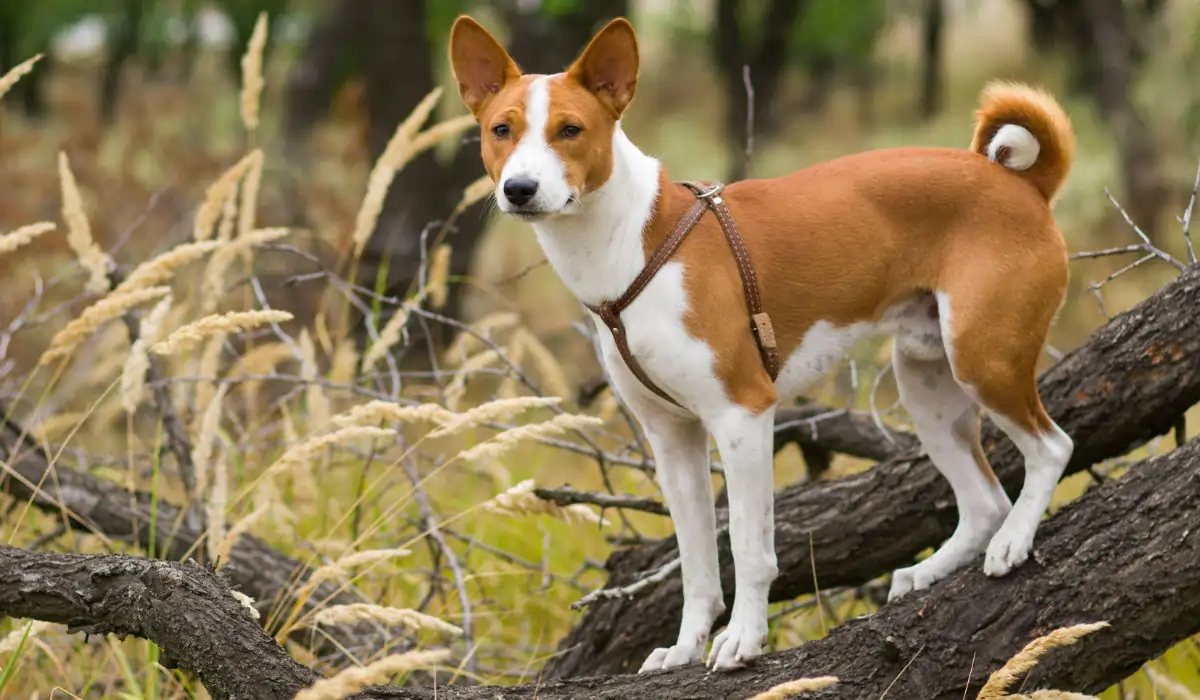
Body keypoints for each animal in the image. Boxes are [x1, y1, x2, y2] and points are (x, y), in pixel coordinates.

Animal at [451, 15, 1080, 672]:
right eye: (501, 130)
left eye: (570, 130)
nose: (520, 189)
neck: (631, 245)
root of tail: (1022, 184)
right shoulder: (673, 439)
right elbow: (697, 564)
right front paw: (684, 647)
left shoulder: (743, 413)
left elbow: (749, 551)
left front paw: (744, 640)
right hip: (927, 384)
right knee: (984, 501)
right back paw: (930, 571)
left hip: (985, 359)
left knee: (1051, 448)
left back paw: (1015, 541)